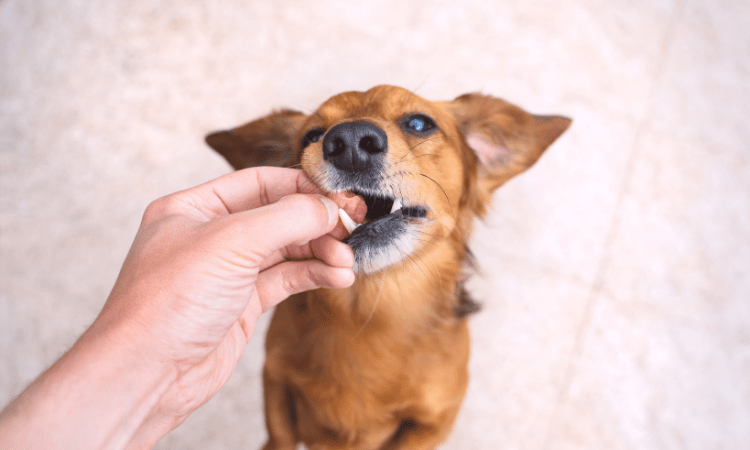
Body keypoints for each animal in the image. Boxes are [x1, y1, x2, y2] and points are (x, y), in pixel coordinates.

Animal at [206, 85, 568, 450]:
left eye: (419, 124)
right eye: (312, 135)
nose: (349, 140)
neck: (370, 310)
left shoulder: (435, 421)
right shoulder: (275, 378)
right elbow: (279, 438)